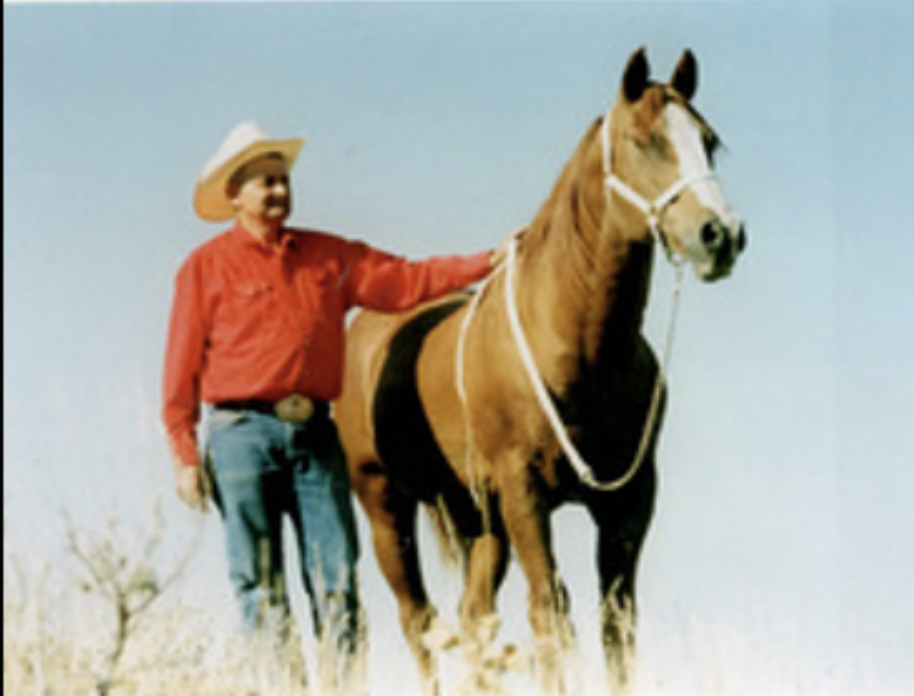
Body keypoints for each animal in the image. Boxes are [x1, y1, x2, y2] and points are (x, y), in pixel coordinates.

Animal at [335, 48, 746, 694]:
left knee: (473, 619)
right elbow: (549, 613)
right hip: (384, 503)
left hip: (479, 517)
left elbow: (616, 624)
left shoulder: (629, 502)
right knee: (419, 622)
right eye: (643, 140)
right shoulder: (524, 493)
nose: (720, 235)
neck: (577, 348)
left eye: (709, 141)